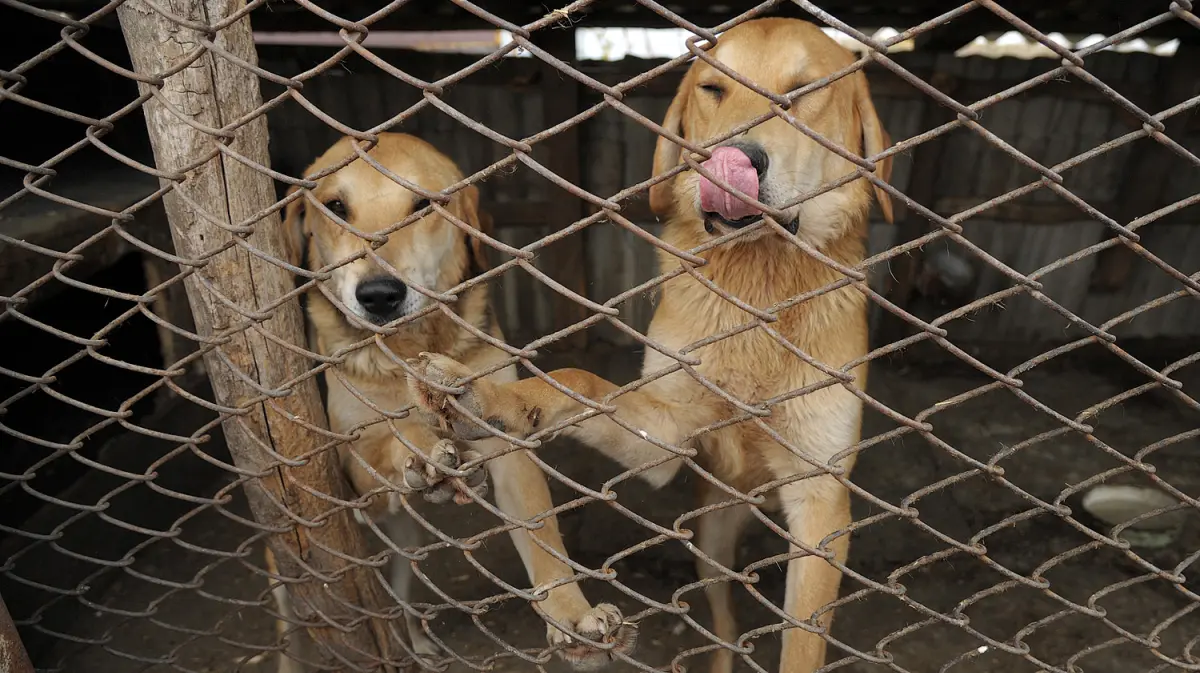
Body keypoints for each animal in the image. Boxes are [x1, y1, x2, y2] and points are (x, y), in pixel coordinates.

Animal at [265, 132, 638, 671]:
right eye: (335, 207)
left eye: (423, 206)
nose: (380, 294)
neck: (405, 351)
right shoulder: (352, 470)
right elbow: (394, 437)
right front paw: (426, 452)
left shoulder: (508, 449)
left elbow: (543, 537)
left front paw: (571, 614)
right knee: (293, 626)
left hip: (404, 543)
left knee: (400, 595)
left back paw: (414, 644)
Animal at [403, 18, 892, 671]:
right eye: (713, 89)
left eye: (804, 92)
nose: (731, 161)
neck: (757, 288)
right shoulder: (667, 435)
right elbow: (581, 383)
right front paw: (492, 400)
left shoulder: (821, 506)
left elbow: (803, 645)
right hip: (710, 541)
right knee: (723, 622)